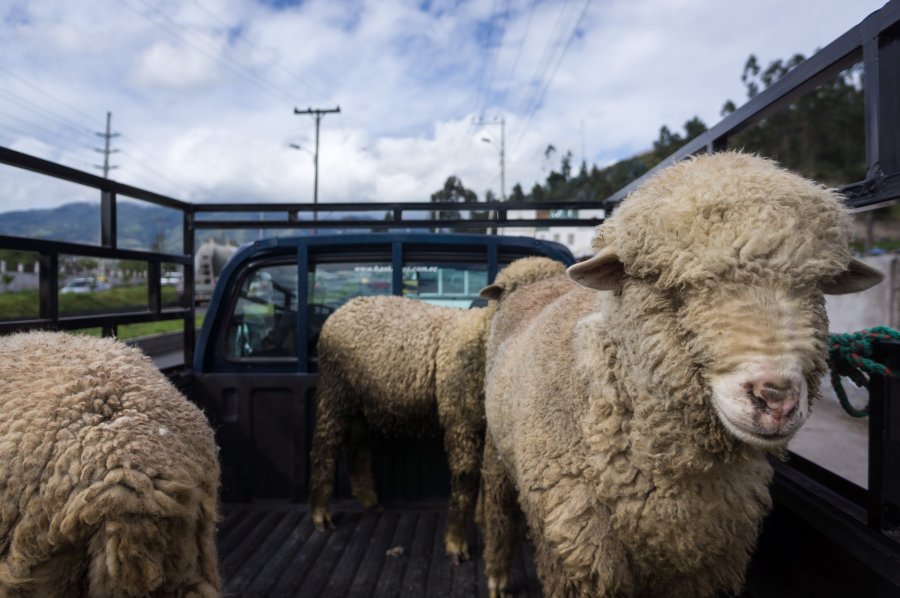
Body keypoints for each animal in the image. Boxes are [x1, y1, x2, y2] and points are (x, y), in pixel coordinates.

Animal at [482, 152, 884, 596]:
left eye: (818, 286)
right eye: (669, 285)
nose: (775, 398)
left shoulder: (700, 560)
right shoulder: (580, 549)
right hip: (496, 447)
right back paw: (497, 573)